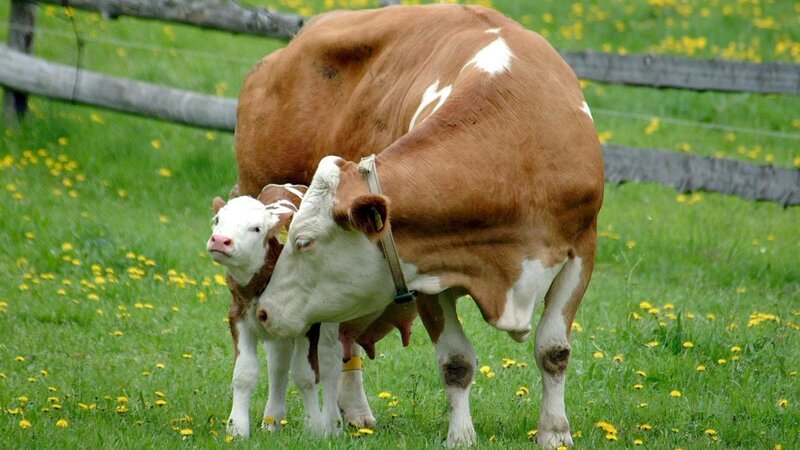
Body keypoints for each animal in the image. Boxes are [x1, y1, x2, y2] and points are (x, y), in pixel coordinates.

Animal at [251, 5, 604, 449]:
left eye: (305, 241)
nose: (265, 311)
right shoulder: (426, 271)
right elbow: (456, 361)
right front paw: (461, 435)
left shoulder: (581, 252)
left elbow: (553, 350)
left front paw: (554, 432)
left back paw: (354, 412)